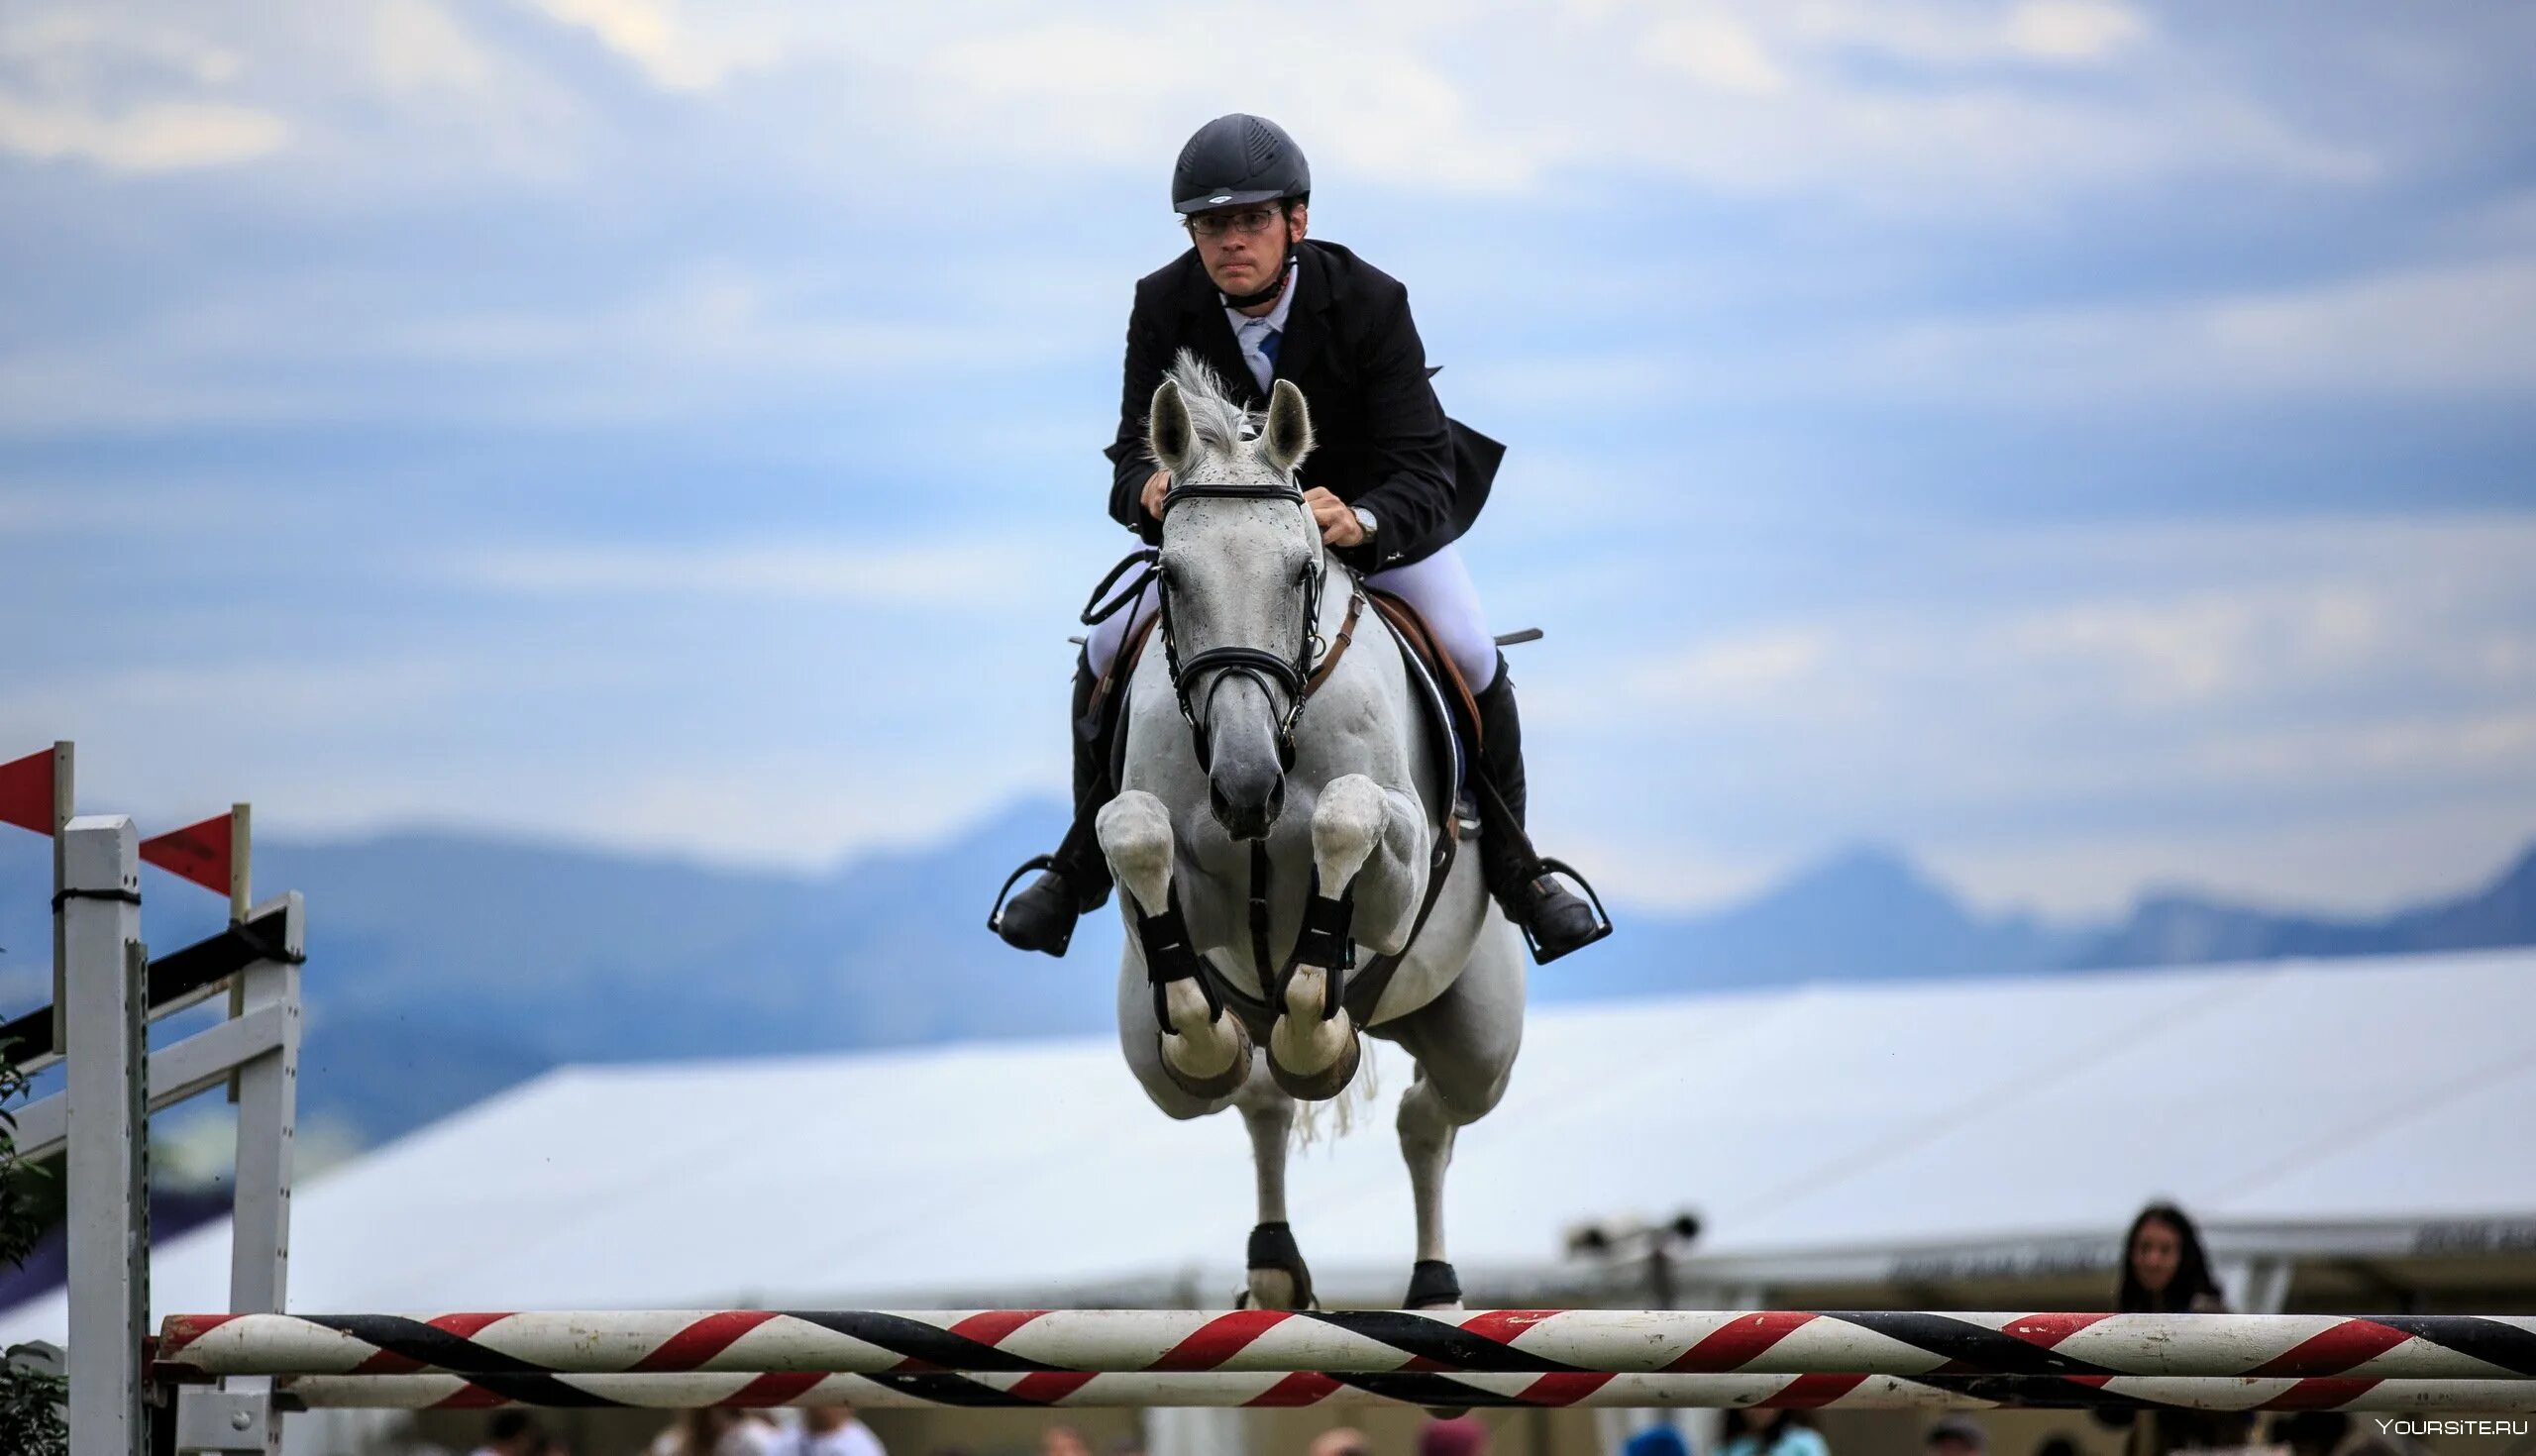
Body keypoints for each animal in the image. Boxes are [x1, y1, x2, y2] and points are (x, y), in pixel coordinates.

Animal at [1095, 350, 1522, 1308]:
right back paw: (1274, 1260)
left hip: (1479, 1032)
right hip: (1146, 1053)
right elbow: (1134, 833)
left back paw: (1436, 1287)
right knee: (1257, 1096)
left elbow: (1344, 813)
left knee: (1429, 1116)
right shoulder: (1179, 882)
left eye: (1302, 570)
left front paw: (1317, 1027)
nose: (1248, 787)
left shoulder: (1400, 875)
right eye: (1171, 578)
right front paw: (1251, 1034)